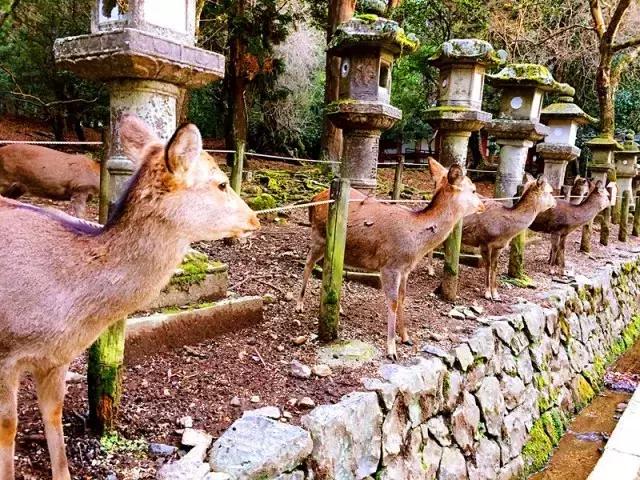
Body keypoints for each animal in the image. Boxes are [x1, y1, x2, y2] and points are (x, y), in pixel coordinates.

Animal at [0, 115, 260, 480]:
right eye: (222, 184)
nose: (255, 218)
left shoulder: (57, 357)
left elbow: (53, 414)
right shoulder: (6, 353)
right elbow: (9, 425)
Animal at [296, 159, 485, 359]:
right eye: (473, 189)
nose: (483, 205)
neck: (416, 243)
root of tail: (314, 199)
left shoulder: (405, 269)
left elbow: (403, 298)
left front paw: (406, 337)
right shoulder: (390, 266)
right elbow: (392, 302)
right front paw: (392, 349)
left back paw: (338, 309)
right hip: (318, 235)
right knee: (308, 263)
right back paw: (299, 305)